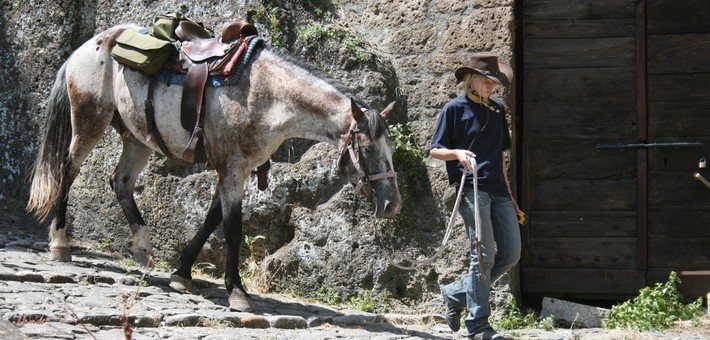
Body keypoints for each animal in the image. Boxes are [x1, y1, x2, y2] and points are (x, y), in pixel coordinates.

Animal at [25, 23, 404, 310]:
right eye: (367, 148)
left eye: (391, 149)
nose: (392, 205)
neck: (268, 94)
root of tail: (86, 47)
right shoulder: (232, 168)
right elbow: (233, 227)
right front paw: (236, 291)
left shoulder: (236, 168)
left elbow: (211, 220)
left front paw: (182, 274)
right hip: (89, 121)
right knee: (67, 172)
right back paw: (60, 244)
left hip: (137, 139)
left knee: (120, 182)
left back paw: (143, 250)